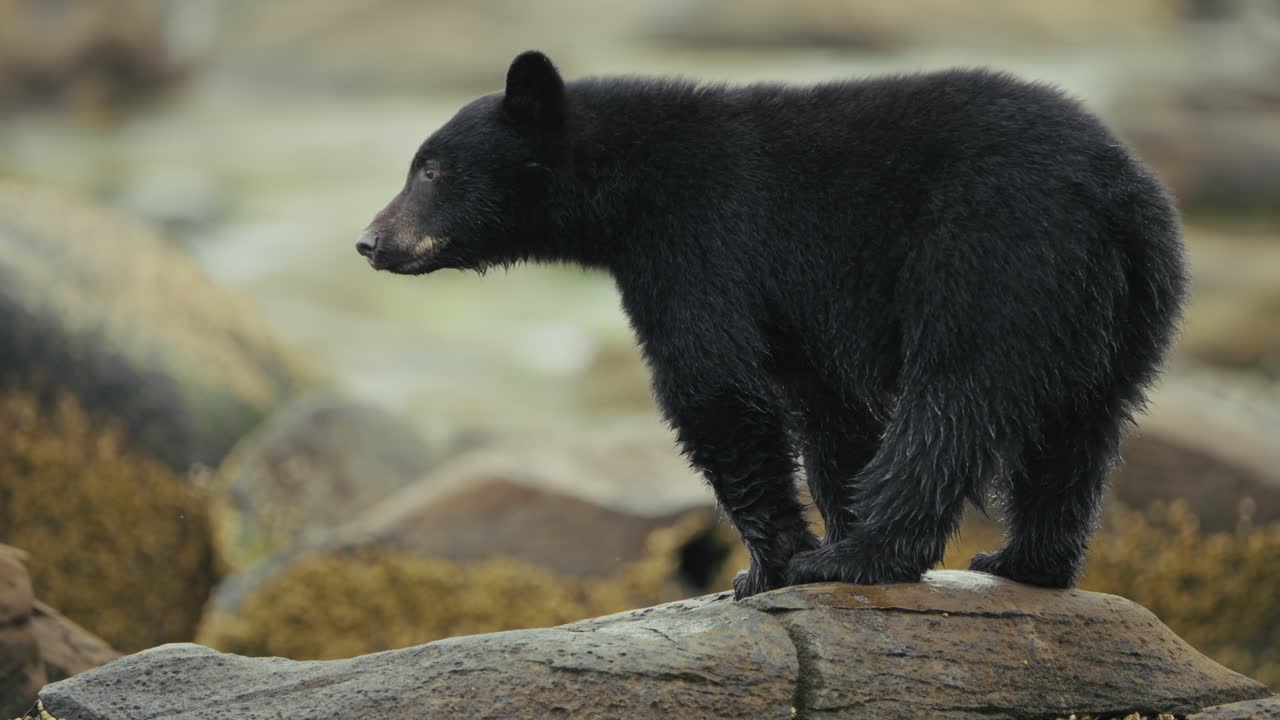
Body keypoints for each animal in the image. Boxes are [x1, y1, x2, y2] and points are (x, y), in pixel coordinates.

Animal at [357, 50, 1188, 600]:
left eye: (431, 168)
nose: (369, 241)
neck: (626, 186)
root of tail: (1117, 198)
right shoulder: (801, 306)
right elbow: (826, 412)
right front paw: (815, 531)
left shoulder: (701, 238)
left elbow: (712, 387)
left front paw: (771, 566)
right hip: (1125, 312)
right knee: (1081, 431)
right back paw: (1026, 563)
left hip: (993, 257)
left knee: (953, 404)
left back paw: (868, 557)